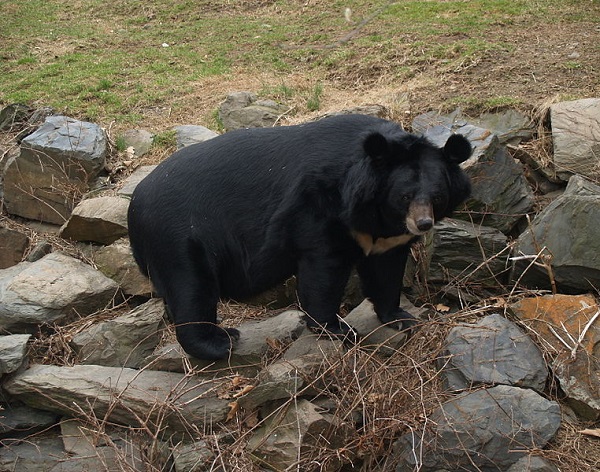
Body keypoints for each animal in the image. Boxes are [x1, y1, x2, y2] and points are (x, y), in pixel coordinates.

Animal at [127, 114, 474, 358]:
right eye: (405, 196)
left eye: (437, 196)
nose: (423, 224)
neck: (375, 213)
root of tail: (135, 201)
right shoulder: (317, 208)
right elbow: (322, 272)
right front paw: (338, 329)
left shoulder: (386, 238)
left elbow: (385, 273)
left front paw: (402, 317)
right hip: (180, 237)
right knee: (191, 288)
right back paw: (221, 341)